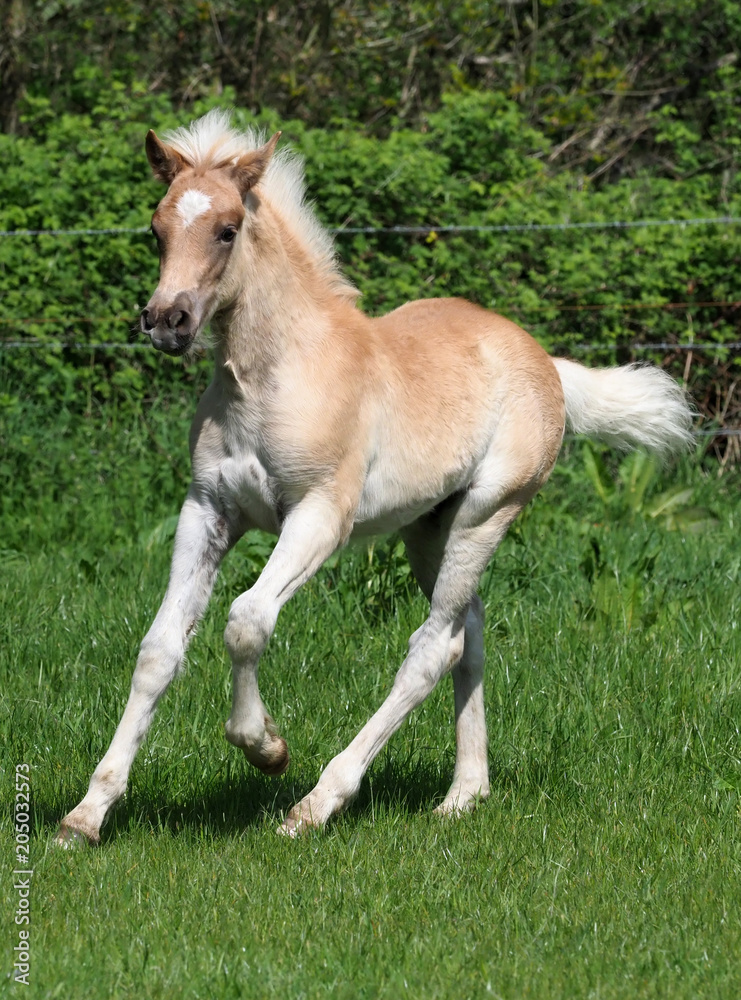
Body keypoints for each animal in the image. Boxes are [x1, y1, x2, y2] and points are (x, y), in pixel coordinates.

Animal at [56, 111, 692, 844]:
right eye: (156, 228)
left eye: (226, 229)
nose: (167, 321)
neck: (271, 379)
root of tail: (547, 364)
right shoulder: (208, 510)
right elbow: (159, 649)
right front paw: (87, 814)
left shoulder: (318, 516)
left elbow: (246, 620)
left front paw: (266, 747)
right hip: (428, 530)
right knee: (468, 632)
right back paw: (463, 794)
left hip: (487, 514)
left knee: (431, 648)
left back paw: (316, 803)